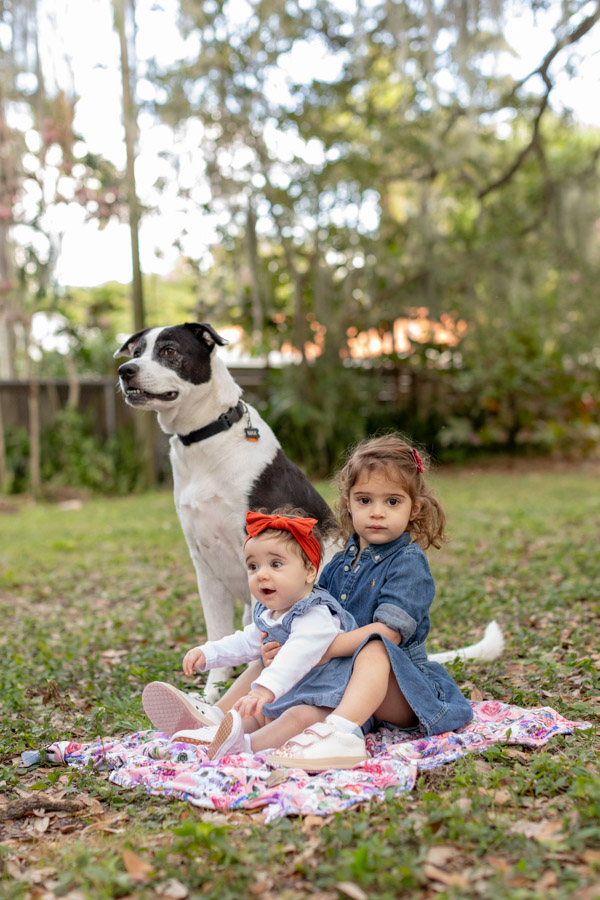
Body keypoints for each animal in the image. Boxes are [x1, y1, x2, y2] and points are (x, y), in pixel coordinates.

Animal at [115, 320, 504, 700]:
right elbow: (218, 635)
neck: (206, 438)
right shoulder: (205, 565)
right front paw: (211, 694)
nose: (125, 370)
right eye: (136, 351)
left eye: (169, 351)